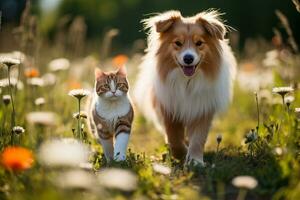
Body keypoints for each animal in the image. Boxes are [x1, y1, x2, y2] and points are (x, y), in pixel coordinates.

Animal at [135, 9, 236, 166]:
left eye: (199, 43)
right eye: (178, 43)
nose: (188, 58)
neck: (187, 82)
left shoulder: (203, 109)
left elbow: (198, 138)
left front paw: (195, 160)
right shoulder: (169, 110)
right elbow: (174, 139)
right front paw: (182, 154)